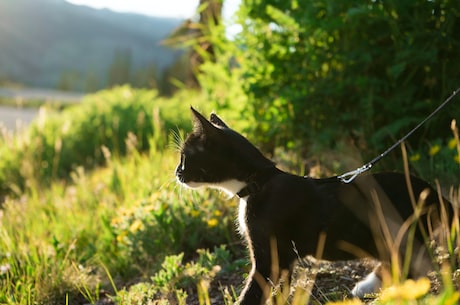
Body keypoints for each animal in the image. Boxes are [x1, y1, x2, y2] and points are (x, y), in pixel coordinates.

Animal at [176, 107, 450, 304]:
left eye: (185, 157)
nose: (177, 173)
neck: (259, 182)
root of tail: (436, 194)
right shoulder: (285, 258)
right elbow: (280, 289)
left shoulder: (269, 255)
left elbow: (254, 291)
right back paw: (370, 286)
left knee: (411, 267)